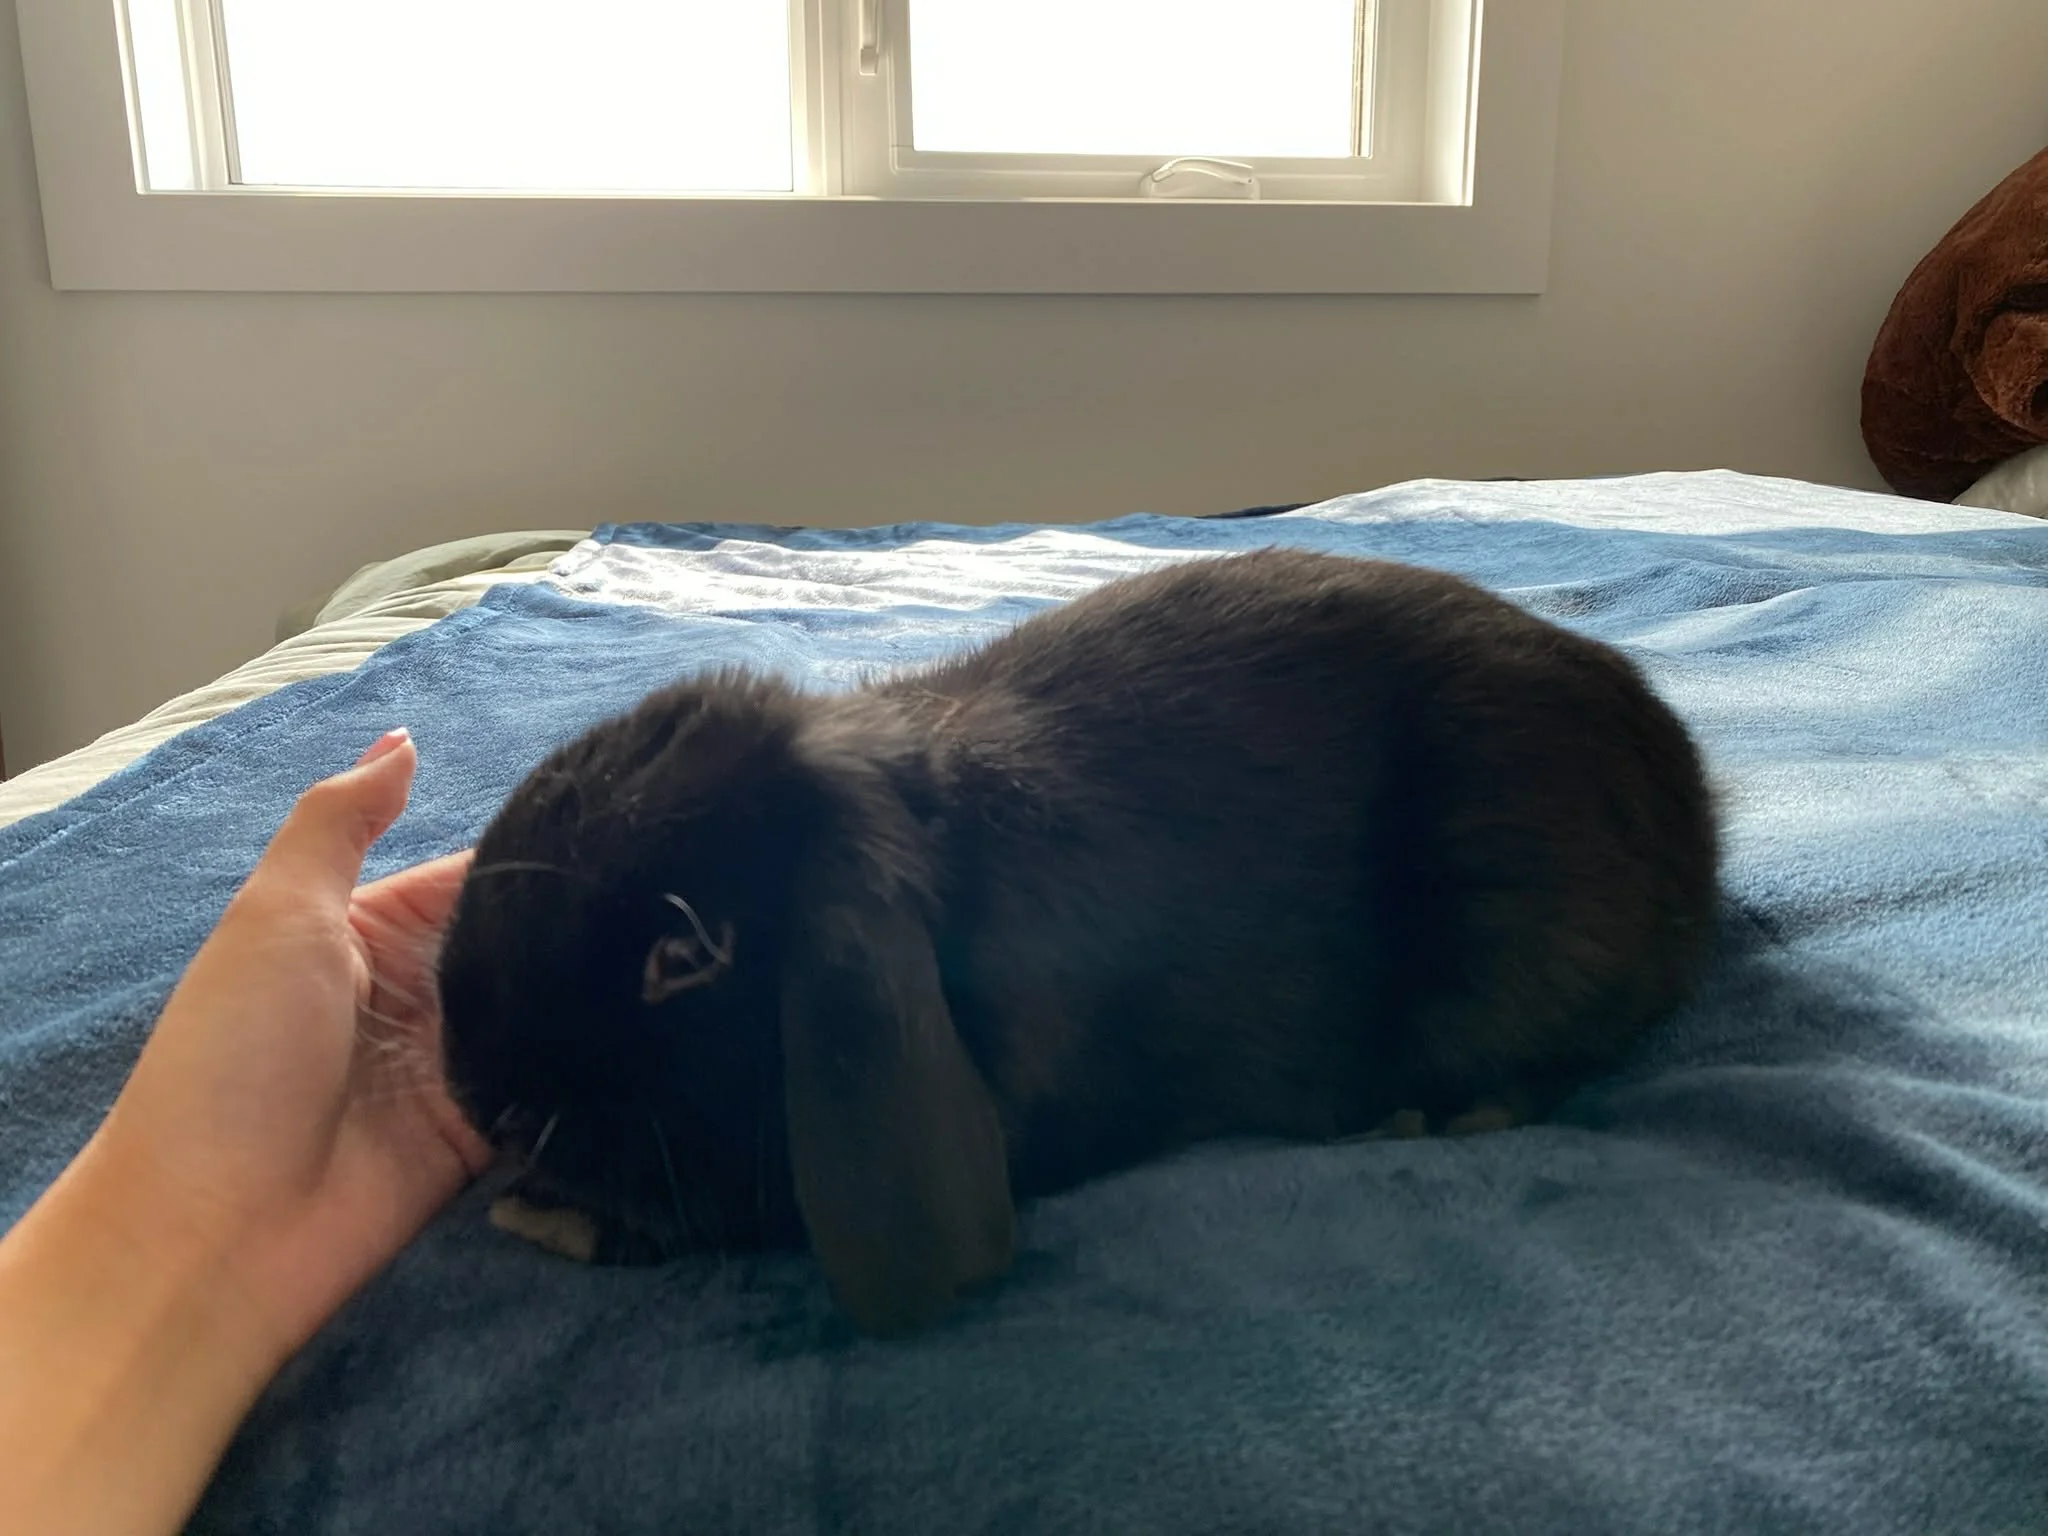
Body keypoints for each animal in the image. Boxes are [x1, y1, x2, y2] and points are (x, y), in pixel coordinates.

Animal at [437, 547, 1720, 1335]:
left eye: (683, 957)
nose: (474, 1097)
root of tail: (1691, 809)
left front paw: (537, 1213)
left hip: (1522, 940)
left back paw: (1414, 1121)